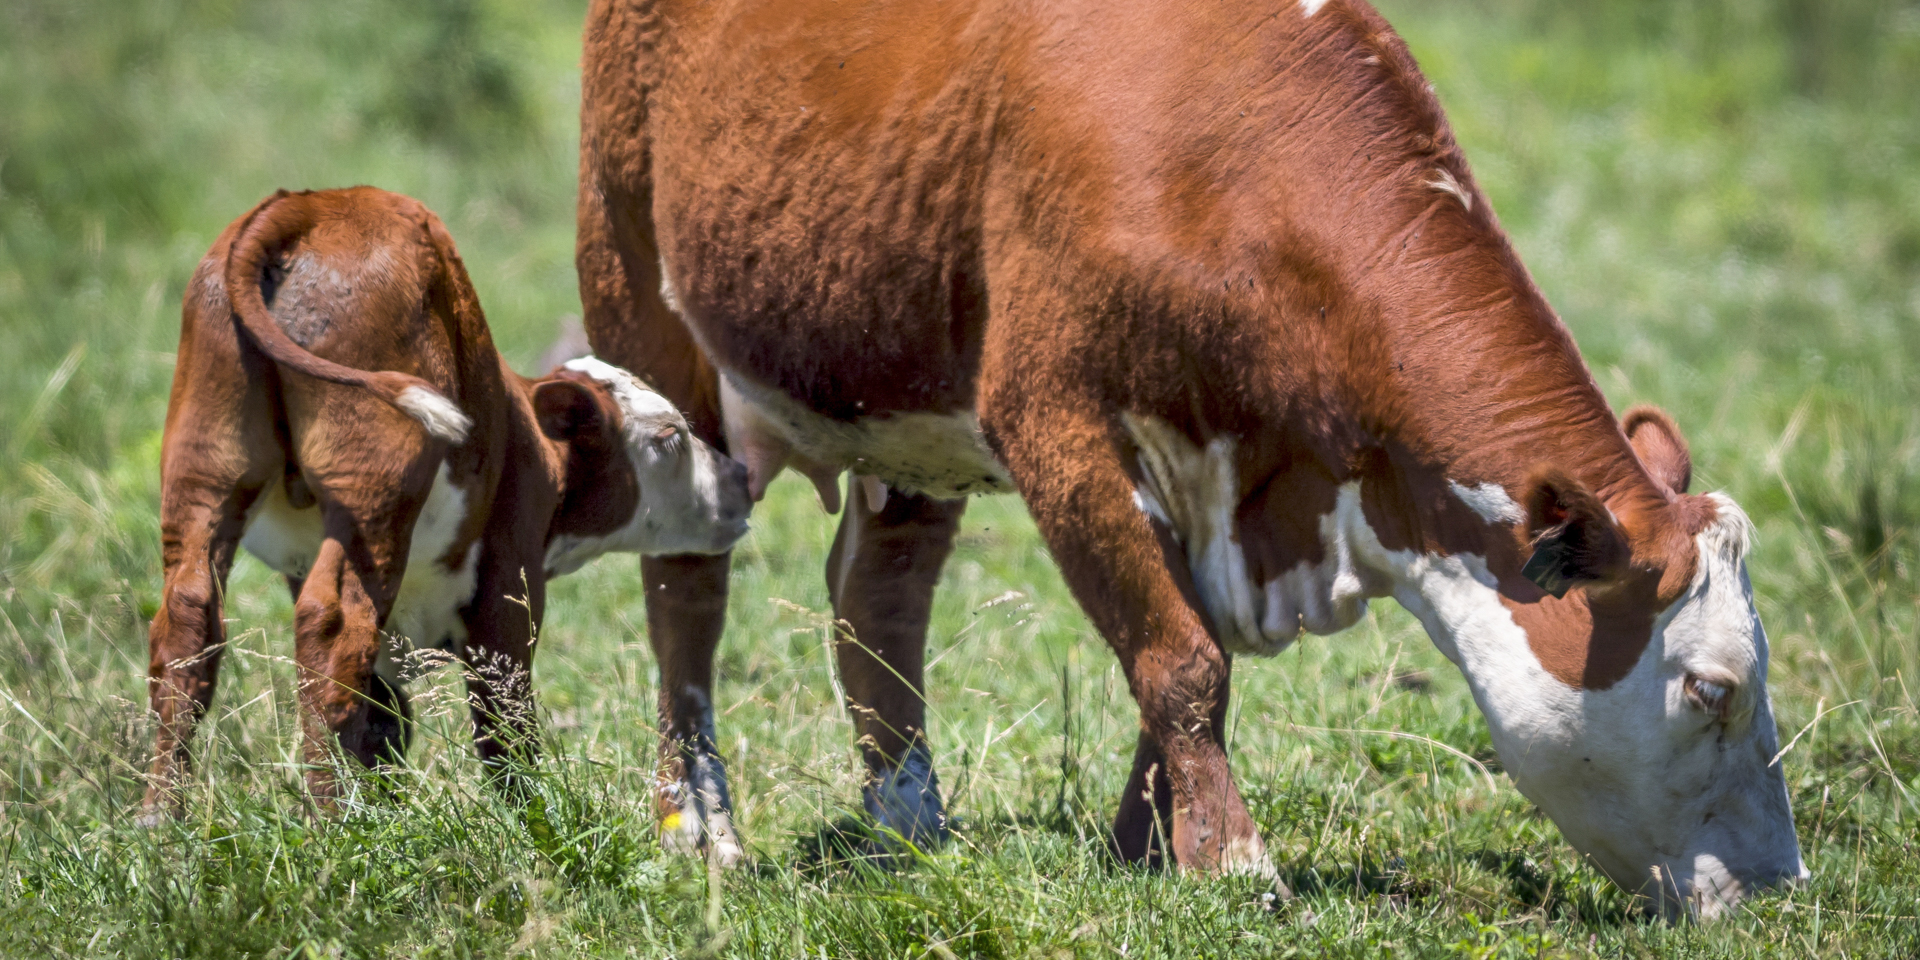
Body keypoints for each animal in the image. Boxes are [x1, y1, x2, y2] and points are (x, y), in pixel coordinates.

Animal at [145, 189, 748, 817]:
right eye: (670, 434)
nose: (740, 475)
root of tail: (311, 205)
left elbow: (384, 722)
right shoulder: (509, 583)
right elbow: (504, 721)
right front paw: (531, 818)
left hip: (205, 459)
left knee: (189, 623)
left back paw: (162, 817)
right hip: (376, 481)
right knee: (332, 630)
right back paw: (331, 821)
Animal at [576, 0, 1804, 913]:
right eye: (1711, 688)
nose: (1780, 886)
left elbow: (1186, 651)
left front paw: (1149, 844)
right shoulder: (1055, 420)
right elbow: (1180, 658)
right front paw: (1230, 860)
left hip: (899, 385)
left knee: (878, 589)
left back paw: (910, 825)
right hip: (636, 291)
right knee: (686, 589)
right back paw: (698, 822)